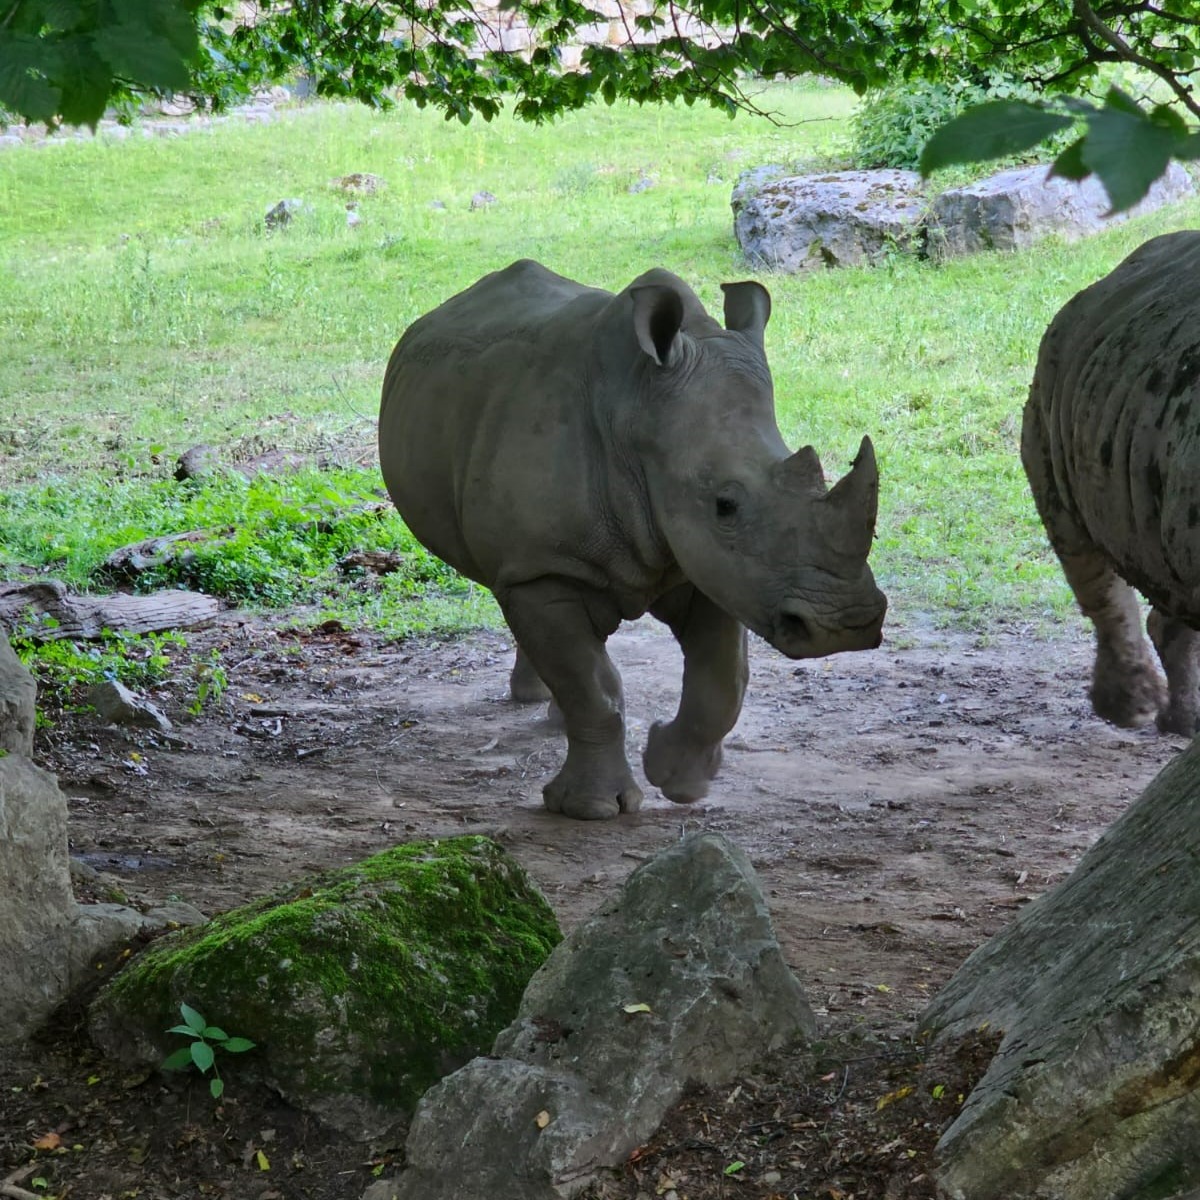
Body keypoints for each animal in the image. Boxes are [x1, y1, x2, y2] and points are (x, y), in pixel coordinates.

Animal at [379, 262, 888, 820]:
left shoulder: (713, 565)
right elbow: (593, 691)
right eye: (725, 505)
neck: (636, 412)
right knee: (516, 593)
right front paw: (593, 809)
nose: (846, 628)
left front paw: (677, 779)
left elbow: (722, 683)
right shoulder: (546, 566)